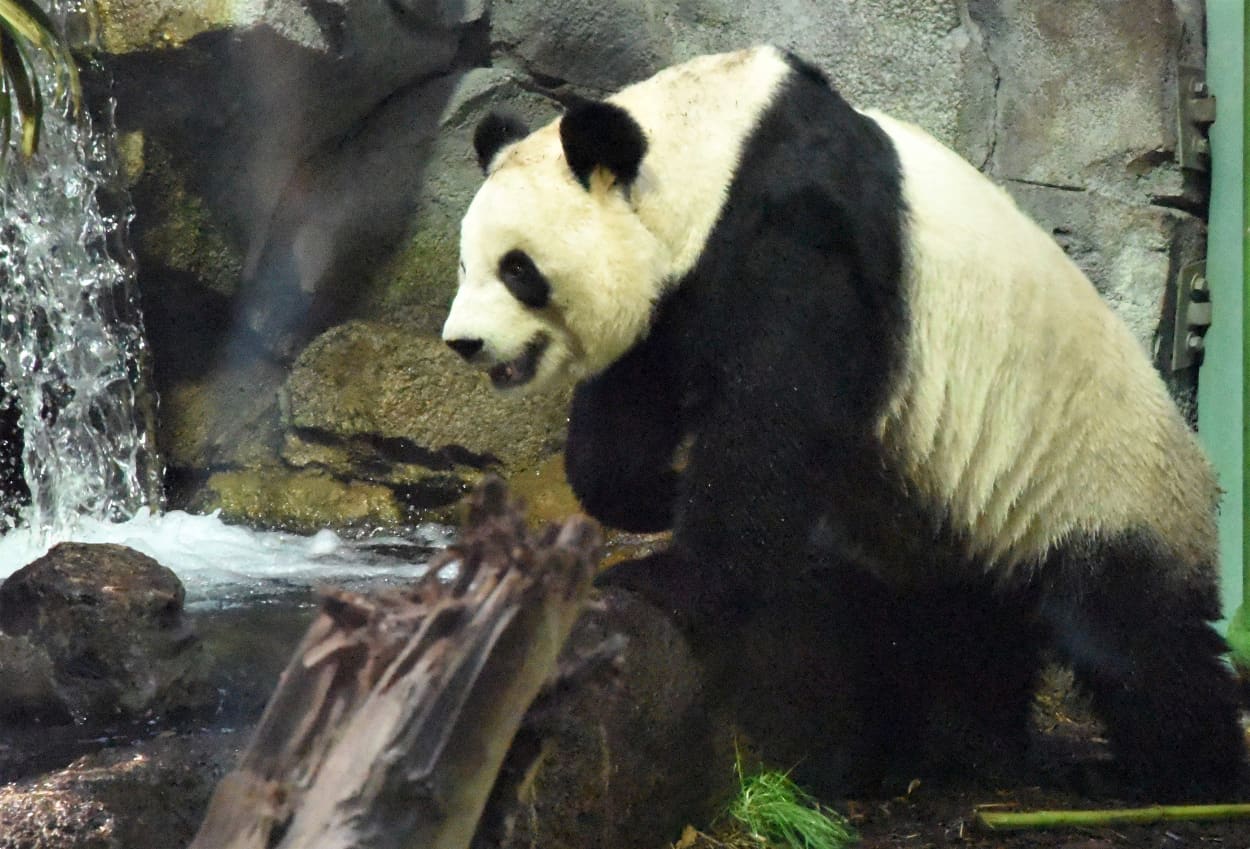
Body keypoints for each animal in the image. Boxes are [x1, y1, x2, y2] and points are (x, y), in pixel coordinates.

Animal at [442, 46, 1245, 800]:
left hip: (1100, 483)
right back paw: (951, 751)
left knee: (1134, 637)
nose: (464, 343)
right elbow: (632, 401)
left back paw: (1172, 776)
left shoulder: (802, 235)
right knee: (954, 628)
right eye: (465, 264)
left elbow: (772, 418)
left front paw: (665, 575)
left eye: (518, 269)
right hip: (962, 519)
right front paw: (654, 496)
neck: (710, 146)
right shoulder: (680, 293)